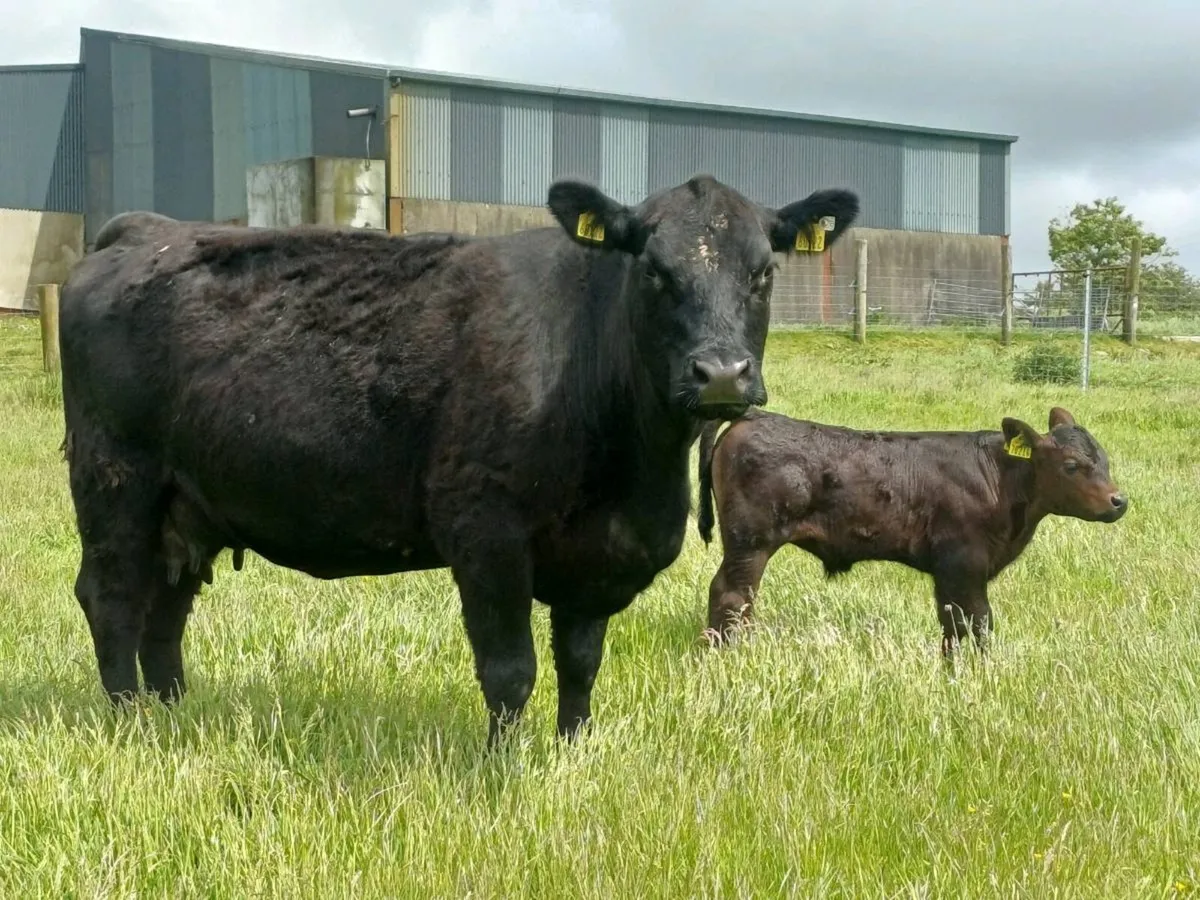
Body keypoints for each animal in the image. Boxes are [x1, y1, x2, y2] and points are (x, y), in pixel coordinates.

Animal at [57, 174, 860, 748]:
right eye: (654, 272)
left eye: (763, 273)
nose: (722, 373)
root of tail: (149, 231)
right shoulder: (485, 531)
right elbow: (510, 670)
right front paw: (503, 767)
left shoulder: (598, 556)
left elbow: (580, 663)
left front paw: (572, 753)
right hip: (115, 481)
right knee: (112, 598)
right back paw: (129, 723)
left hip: (185, 504)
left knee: (165, 610)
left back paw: (173, 717)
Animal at [694, 406, 1127, 659]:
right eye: (1071, 465)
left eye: (1104, 459)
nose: (1118, 501)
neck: (1000, 479)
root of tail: (752, 416)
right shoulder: (962, 564)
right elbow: (975, 621)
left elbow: (954, 624)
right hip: (750, 542)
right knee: (732, 595)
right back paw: (725, 656)